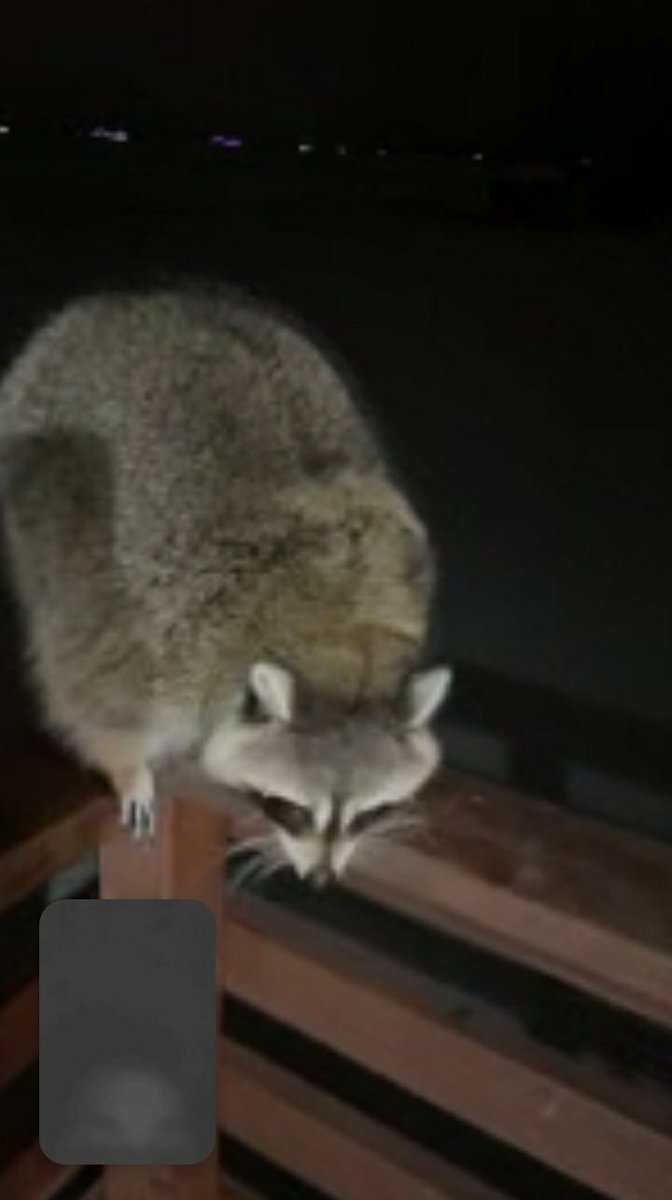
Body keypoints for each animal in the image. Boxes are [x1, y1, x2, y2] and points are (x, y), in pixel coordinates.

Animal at [0, 284, 451, 885]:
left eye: (367, 813)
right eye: (294, 809)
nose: (320, 880)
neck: (341, 643)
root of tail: (123, 302)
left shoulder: (405, 571)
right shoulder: (172, 632)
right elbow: (95, 691)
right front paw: (126, 765)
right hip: (43, 442)